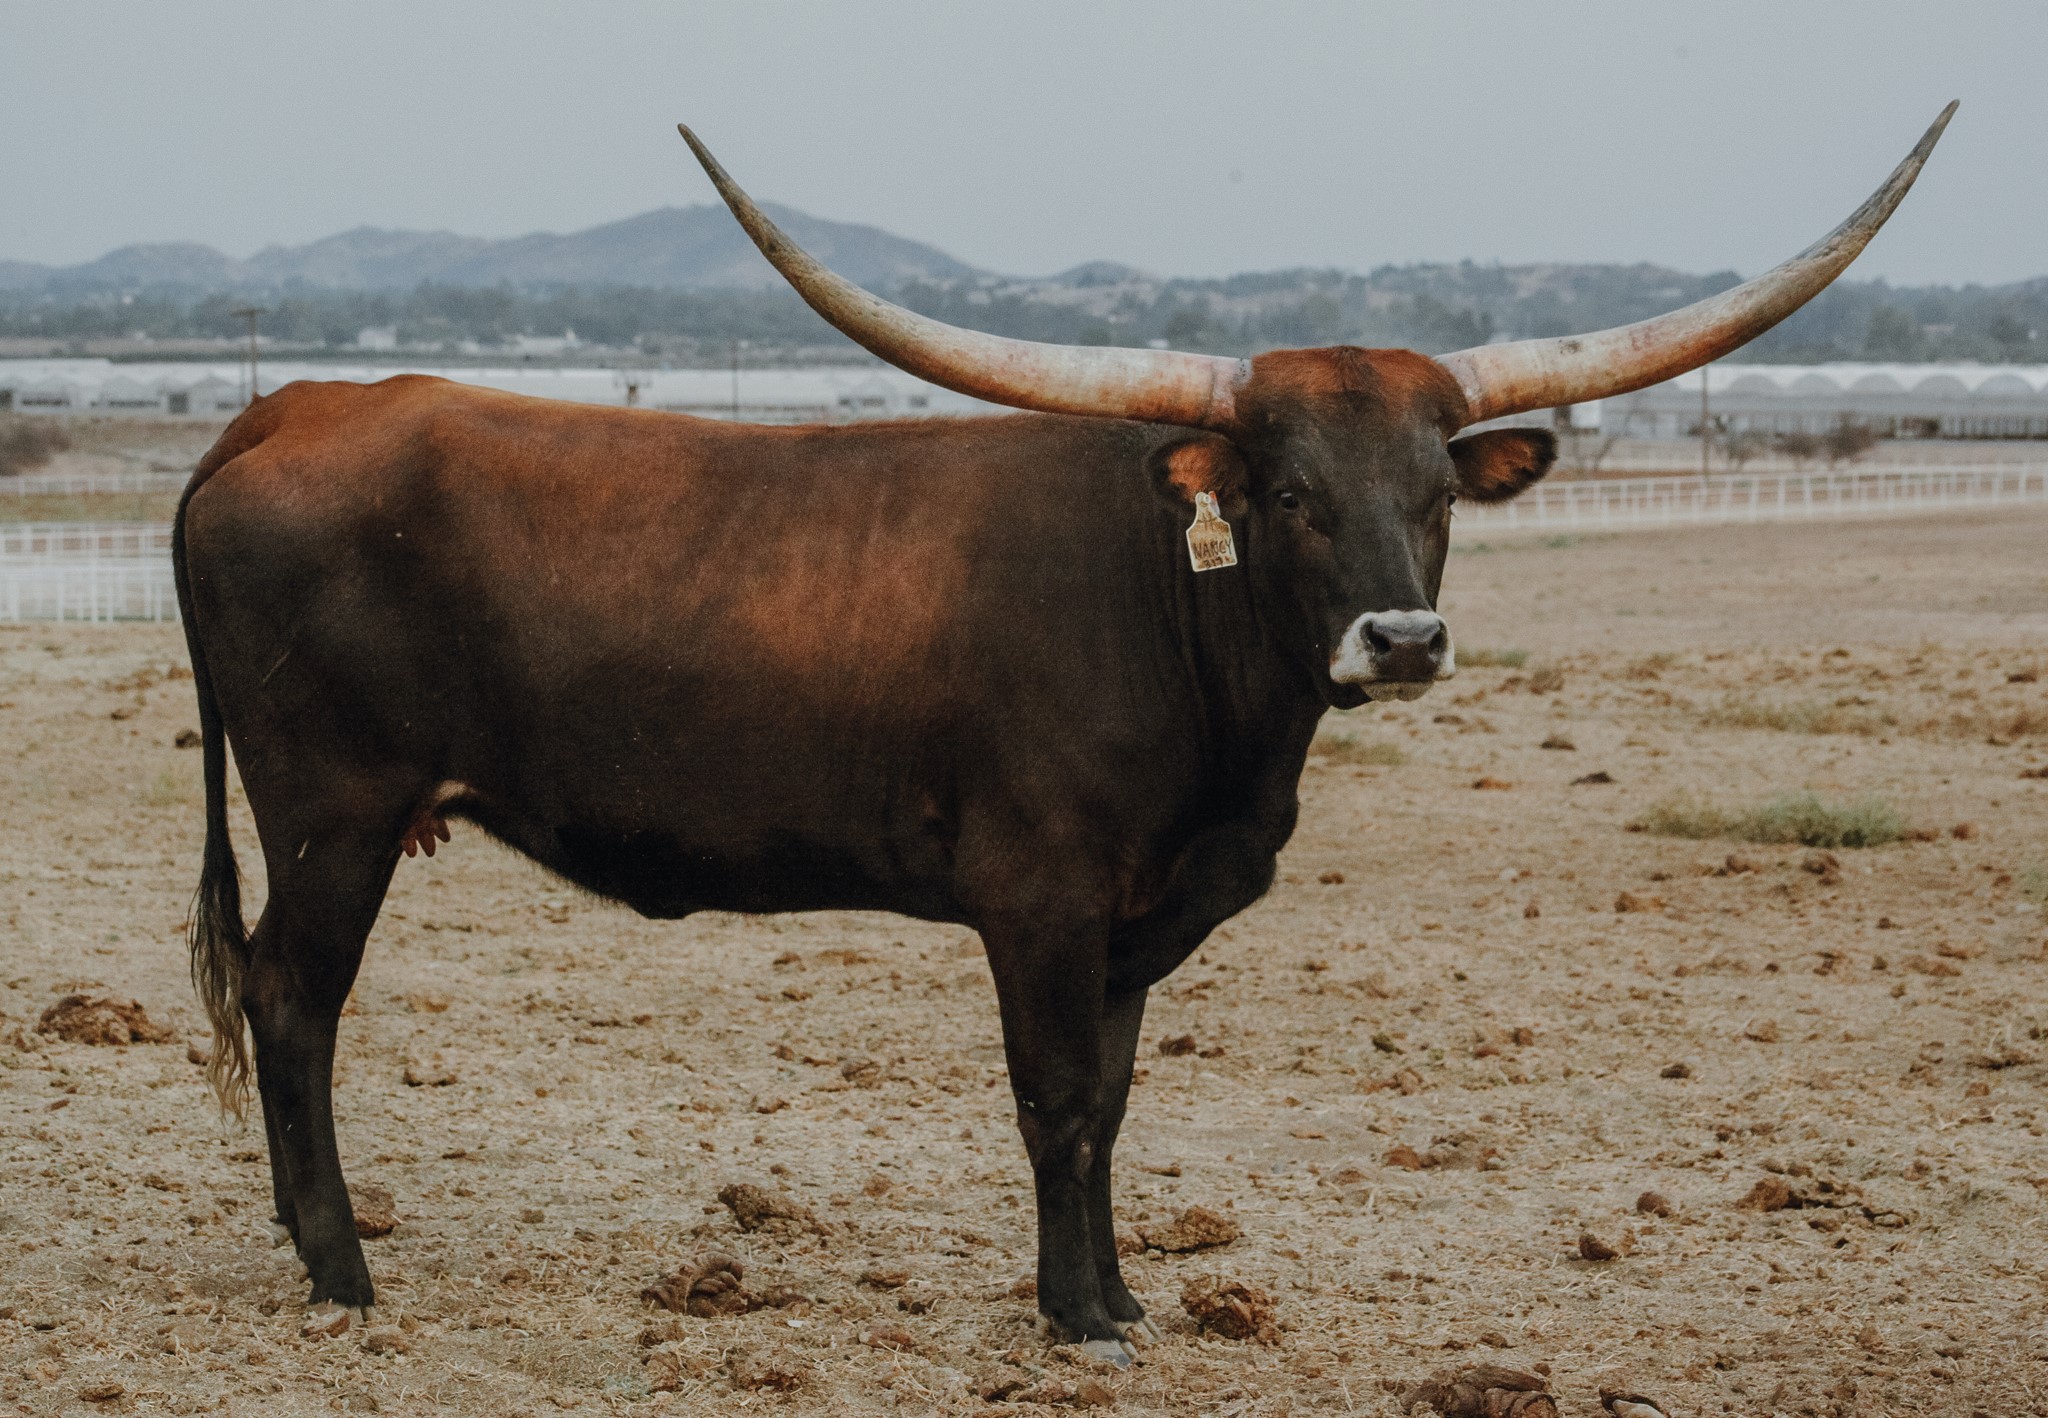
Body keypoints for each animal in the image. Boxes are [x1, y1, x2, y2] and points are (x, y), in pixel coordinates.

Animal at [174, 105, 1952, 1358]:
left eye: (1438, 493)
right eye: (1286, 493)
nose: (1404, 638)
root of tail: (293, 403)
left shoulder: (1132, 925)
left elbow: (1113, 1100)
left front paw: (1117, 1293)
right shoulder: (1036, 900)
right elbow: (1053, 1100)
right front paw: (1071, 1314)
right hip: (334, 810)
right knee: (292, 999)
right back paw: (339, 1268)